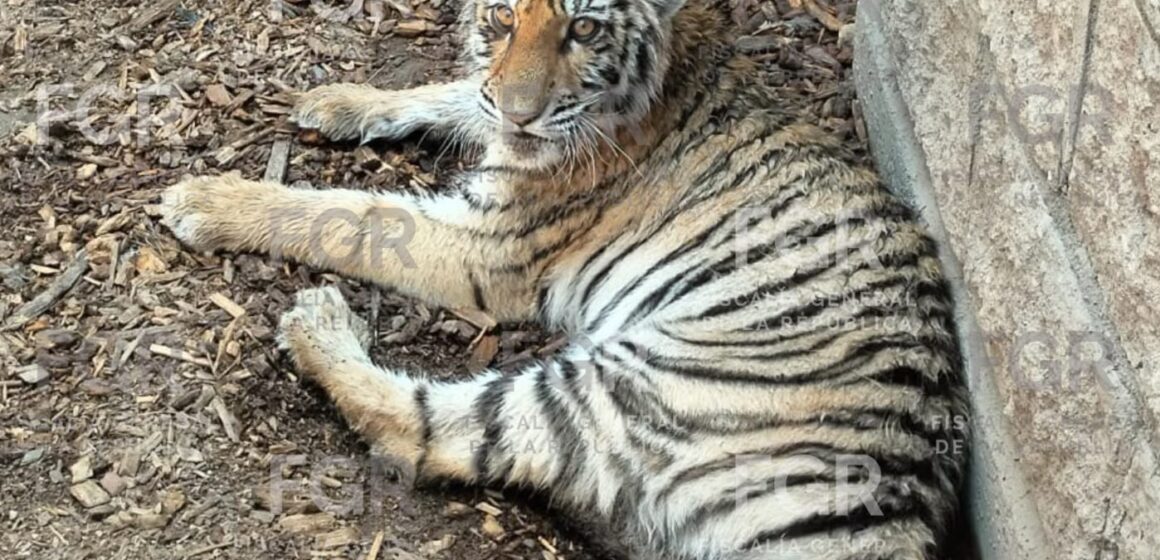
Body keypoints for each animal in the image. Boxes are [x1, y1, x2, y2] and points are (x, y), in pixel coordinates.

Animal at [158, 0, 970, 556]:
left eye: (583, 29)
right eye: (503, 16)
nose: (524, 115)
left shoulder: (488, 245)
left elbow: (346, 214)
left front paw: (206, 201)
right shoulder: (494, 115)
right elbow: (459, 90)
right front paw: (340, 100)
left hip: (646, 381)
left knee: (434, 431)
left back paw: (317, 325)